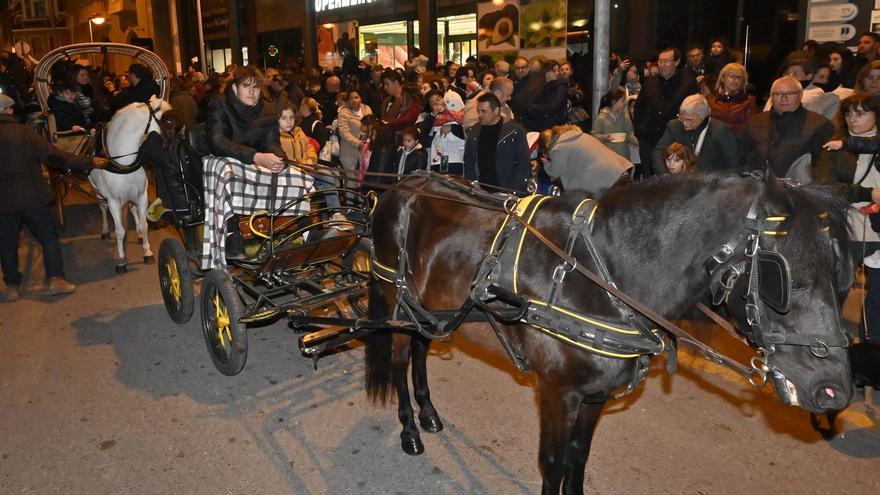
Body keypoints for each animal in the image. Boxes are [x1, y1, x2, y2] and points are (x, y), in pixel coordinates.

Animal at [91, 96, 172, 276]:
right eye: (167, 120)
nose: (170, 145)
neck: (123, 160)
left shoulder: (141, 196)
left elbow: (144, 224)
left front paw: (147, 252)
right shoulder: (114, 201)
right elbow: (120, 231)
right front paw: (121, 260)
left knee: (133, 209)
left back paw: (140, 235)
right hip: (100, 194)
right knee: (102, 208)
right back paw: (105, 231)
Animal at [362, 172, 852, 494]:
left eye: (840, 277)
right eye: (784, 280)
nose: (835, 390)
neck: (604, 277)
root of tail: (399, 187)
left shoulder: (595, 396)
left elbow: (578, 458)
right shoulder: (559, 392)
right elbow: (554, 463)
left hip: (430, 311)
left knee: (422, 348)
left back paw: (429, 412)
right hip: (396, 301)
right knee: (401, 359)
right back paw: (410, 430)